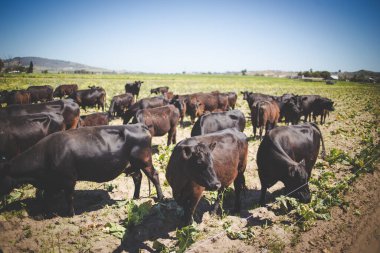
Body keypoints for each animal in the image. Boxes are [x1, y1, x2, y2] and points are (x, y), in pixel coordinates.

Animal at [0, 124, 163, 215]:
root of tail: (138, 125)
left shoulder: (69, 179)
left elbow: (69, 197)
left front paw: (70, 214)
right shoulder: (51, 182)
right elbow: (47, 196)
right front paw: (45, 211)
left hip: (144, 161)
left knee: (154, 175)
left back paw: (160, 198)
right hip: (133, 164)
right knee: (138, 177)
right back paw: (135, 197)